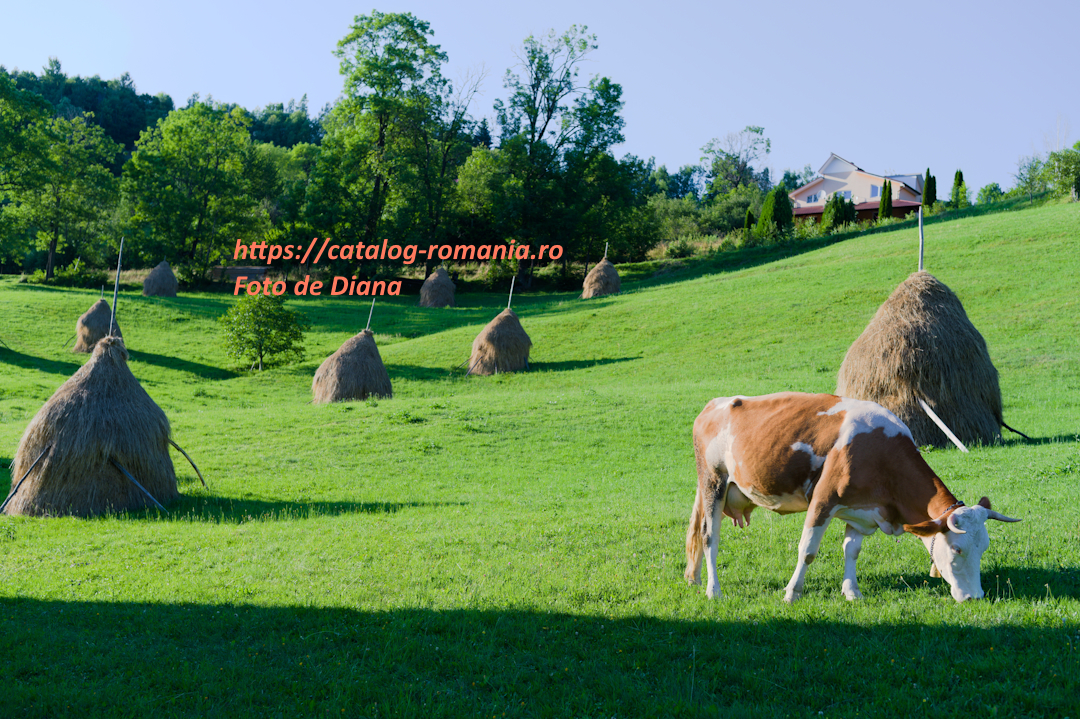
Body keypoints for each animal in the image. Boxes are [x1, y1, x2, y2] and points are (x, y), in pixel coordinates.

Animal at [684, 392, 1021, 603]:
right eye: (957, 550)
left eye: (984, 548)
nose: (975, 597)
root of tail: (714, 404)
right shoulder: (823, 501)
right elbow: (808, 550)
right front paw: (792, 593)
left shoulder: (863, 511)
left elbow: (852, 551)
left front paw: (852, 592)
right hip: (714, 482)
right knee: (710, 536)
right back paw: (713, 590)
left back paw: (695, 579)